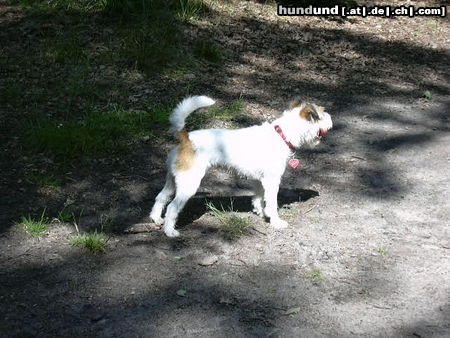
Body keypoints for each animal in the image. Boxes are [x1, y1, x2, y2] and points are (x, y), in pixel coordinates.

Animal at [149, 95, 332, 238]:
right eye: (322, 113)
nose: (330, 119)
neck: (282, 135)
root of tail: (186, 138)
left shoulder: (260, 181)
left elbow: (258, 198)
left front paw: (261, 212)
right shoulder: (272, 181)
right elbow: (272, 203)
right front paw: (275, 221)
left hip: (173, 181)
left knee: (161, 197)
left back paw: (157, 219)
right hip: (189, 185)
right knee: (172, 207)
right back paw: (170, 231)